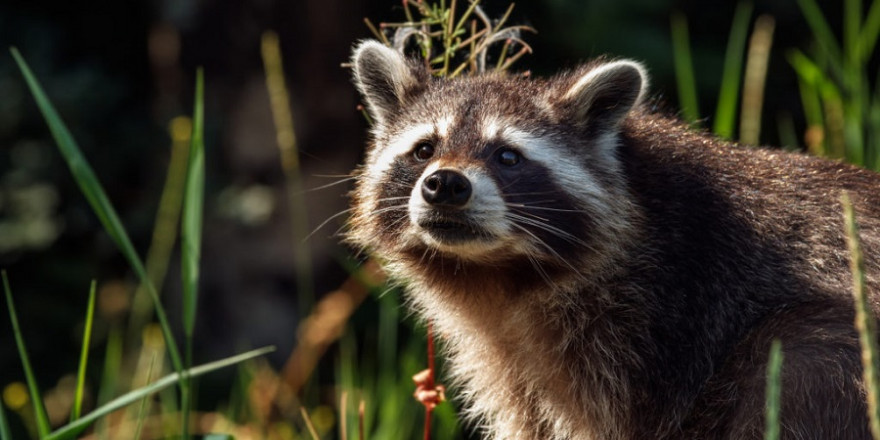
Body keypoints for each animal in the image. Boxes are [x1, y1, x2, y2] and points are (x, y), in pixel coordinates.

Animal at [348, 39, 880, 438]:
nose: (446, 184)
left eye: (507, 156)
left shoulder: (663, 326)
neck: (500, 274)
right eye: (424, 149)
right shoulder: (518, 362)